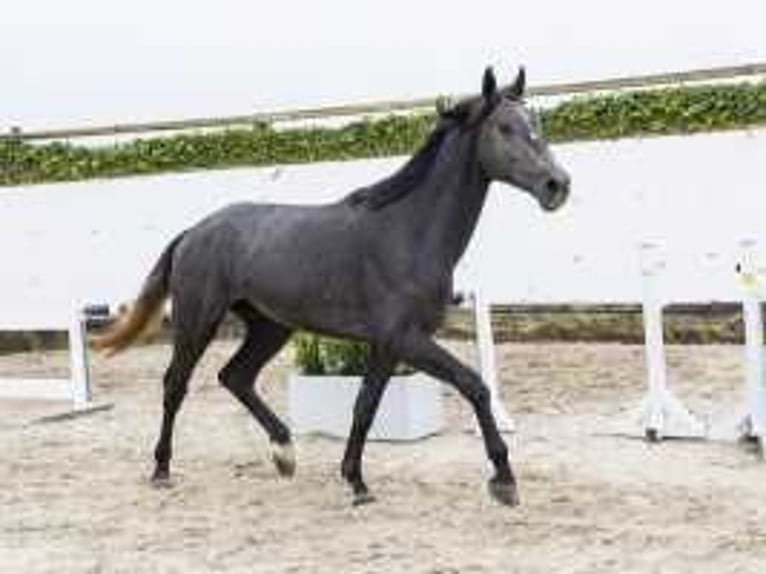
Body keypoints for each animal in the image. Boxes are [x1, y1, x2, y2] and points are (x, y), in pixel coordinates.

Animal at [93, 67, 572, 508]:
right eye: (504, 128)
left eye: (537, 122)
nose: (558, 185)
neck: (407, 232)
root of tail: (194, 232)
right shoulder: (405, 338)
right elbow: (472, 385)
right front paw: (503, 480)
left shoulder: (390, 344)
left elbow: (366, 406)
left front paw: (356, 481)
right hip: (198, 320)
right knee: (176, 384)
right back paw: (161, 469)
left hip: (270, 326)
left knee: (235, 376)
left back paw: (285, 453)